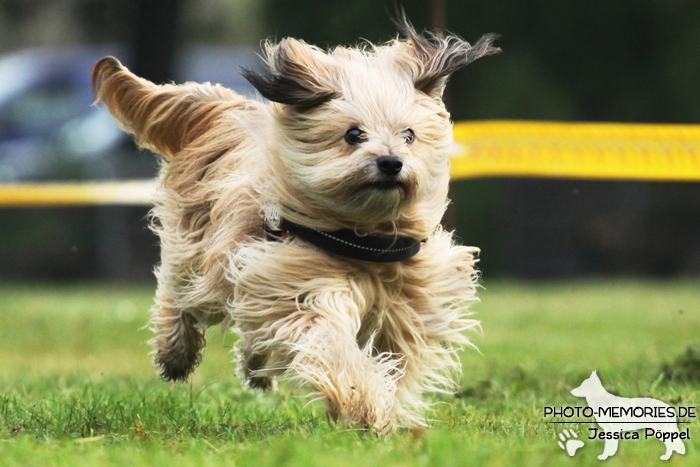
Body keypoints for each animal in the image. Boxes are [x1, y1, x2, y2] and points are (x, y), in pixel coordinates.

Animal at [91, 15, 498, 436]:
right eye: (354, 134)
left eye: (410, 135)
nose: (390, 162)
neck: (366, 239)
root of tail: (227, 111)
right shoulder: (302, 285)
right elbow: (332, 344)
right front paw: (360, 404)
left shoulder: (407, 305)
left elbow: (398, 357)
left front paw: (382, 405)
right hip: (202, 250)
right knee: (180, 294)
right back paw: (175, 352)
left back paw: (255, 369)